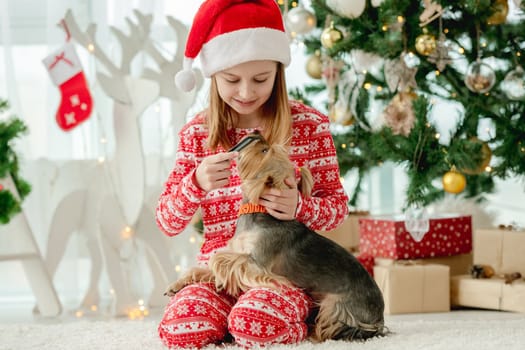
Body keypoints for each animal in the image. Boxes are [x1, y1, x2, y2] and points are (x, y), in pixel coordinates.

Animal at [165, 130, 384, 340]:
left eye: (263, 151)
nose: (257, 133)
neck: (260, 210)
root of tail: (380, 318)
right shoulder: (240, 251)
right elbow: (206, 266)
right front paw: (178, 283)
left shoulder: (256, 263)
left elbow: (220, 258)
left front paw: (220, 277)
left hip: (336, 305)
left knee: (330, 327)